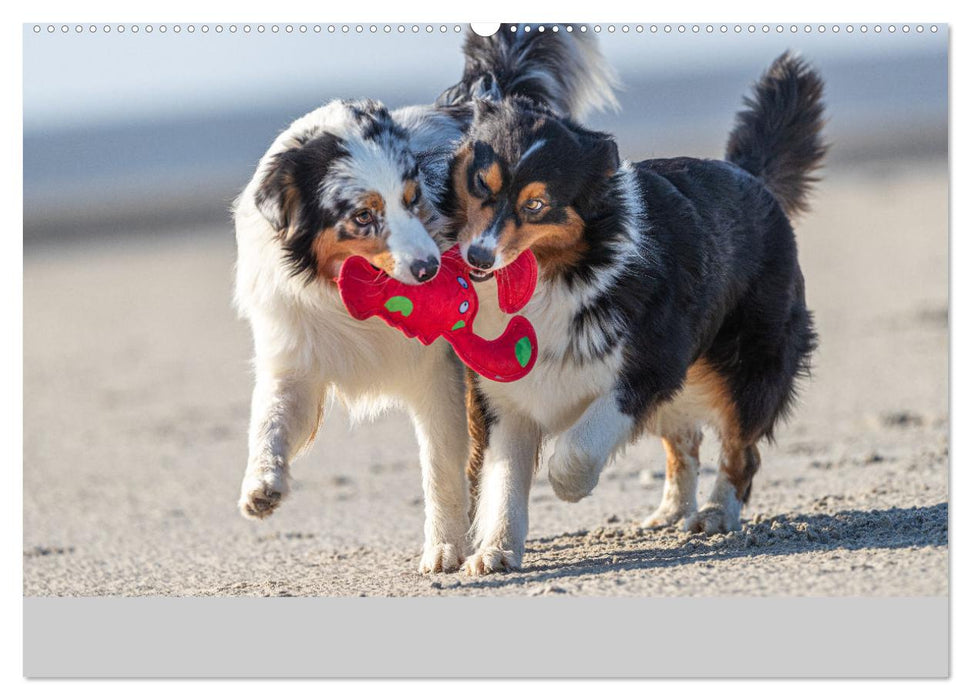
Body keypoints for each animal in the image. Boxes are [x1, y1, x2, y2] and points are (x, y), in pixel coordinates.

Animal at [452, 50, 824, 576]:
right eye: (479, 184)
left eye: (537, 204)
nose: (479, 259)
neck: (558, 277)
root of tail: (752, 178)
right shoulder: (503, 397)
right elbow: (501, 484)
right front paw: (496, 551)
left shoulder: (644, 369)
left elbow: (576, 449)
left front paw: (568, 487)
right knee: (685, 442)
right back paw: (669, 512)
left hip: (747, 368)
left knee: (740, 451)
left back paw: (715, 514)